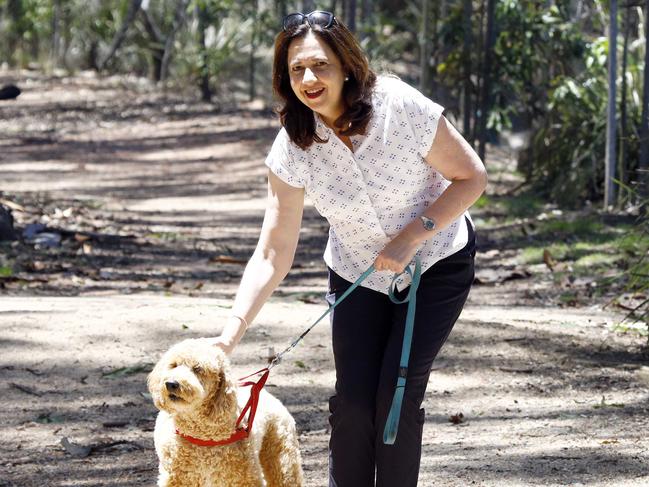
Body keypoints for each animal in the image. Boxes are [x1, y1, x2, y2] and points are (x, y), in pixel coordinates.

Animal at [148, 340, 306, 487]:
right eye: (173, 365)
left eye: (198, 368)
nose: (171, 383)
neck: (201, 436)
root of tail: (270, 396)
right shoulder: (177, 478)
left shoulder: (244, 478)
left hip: (282, 457)